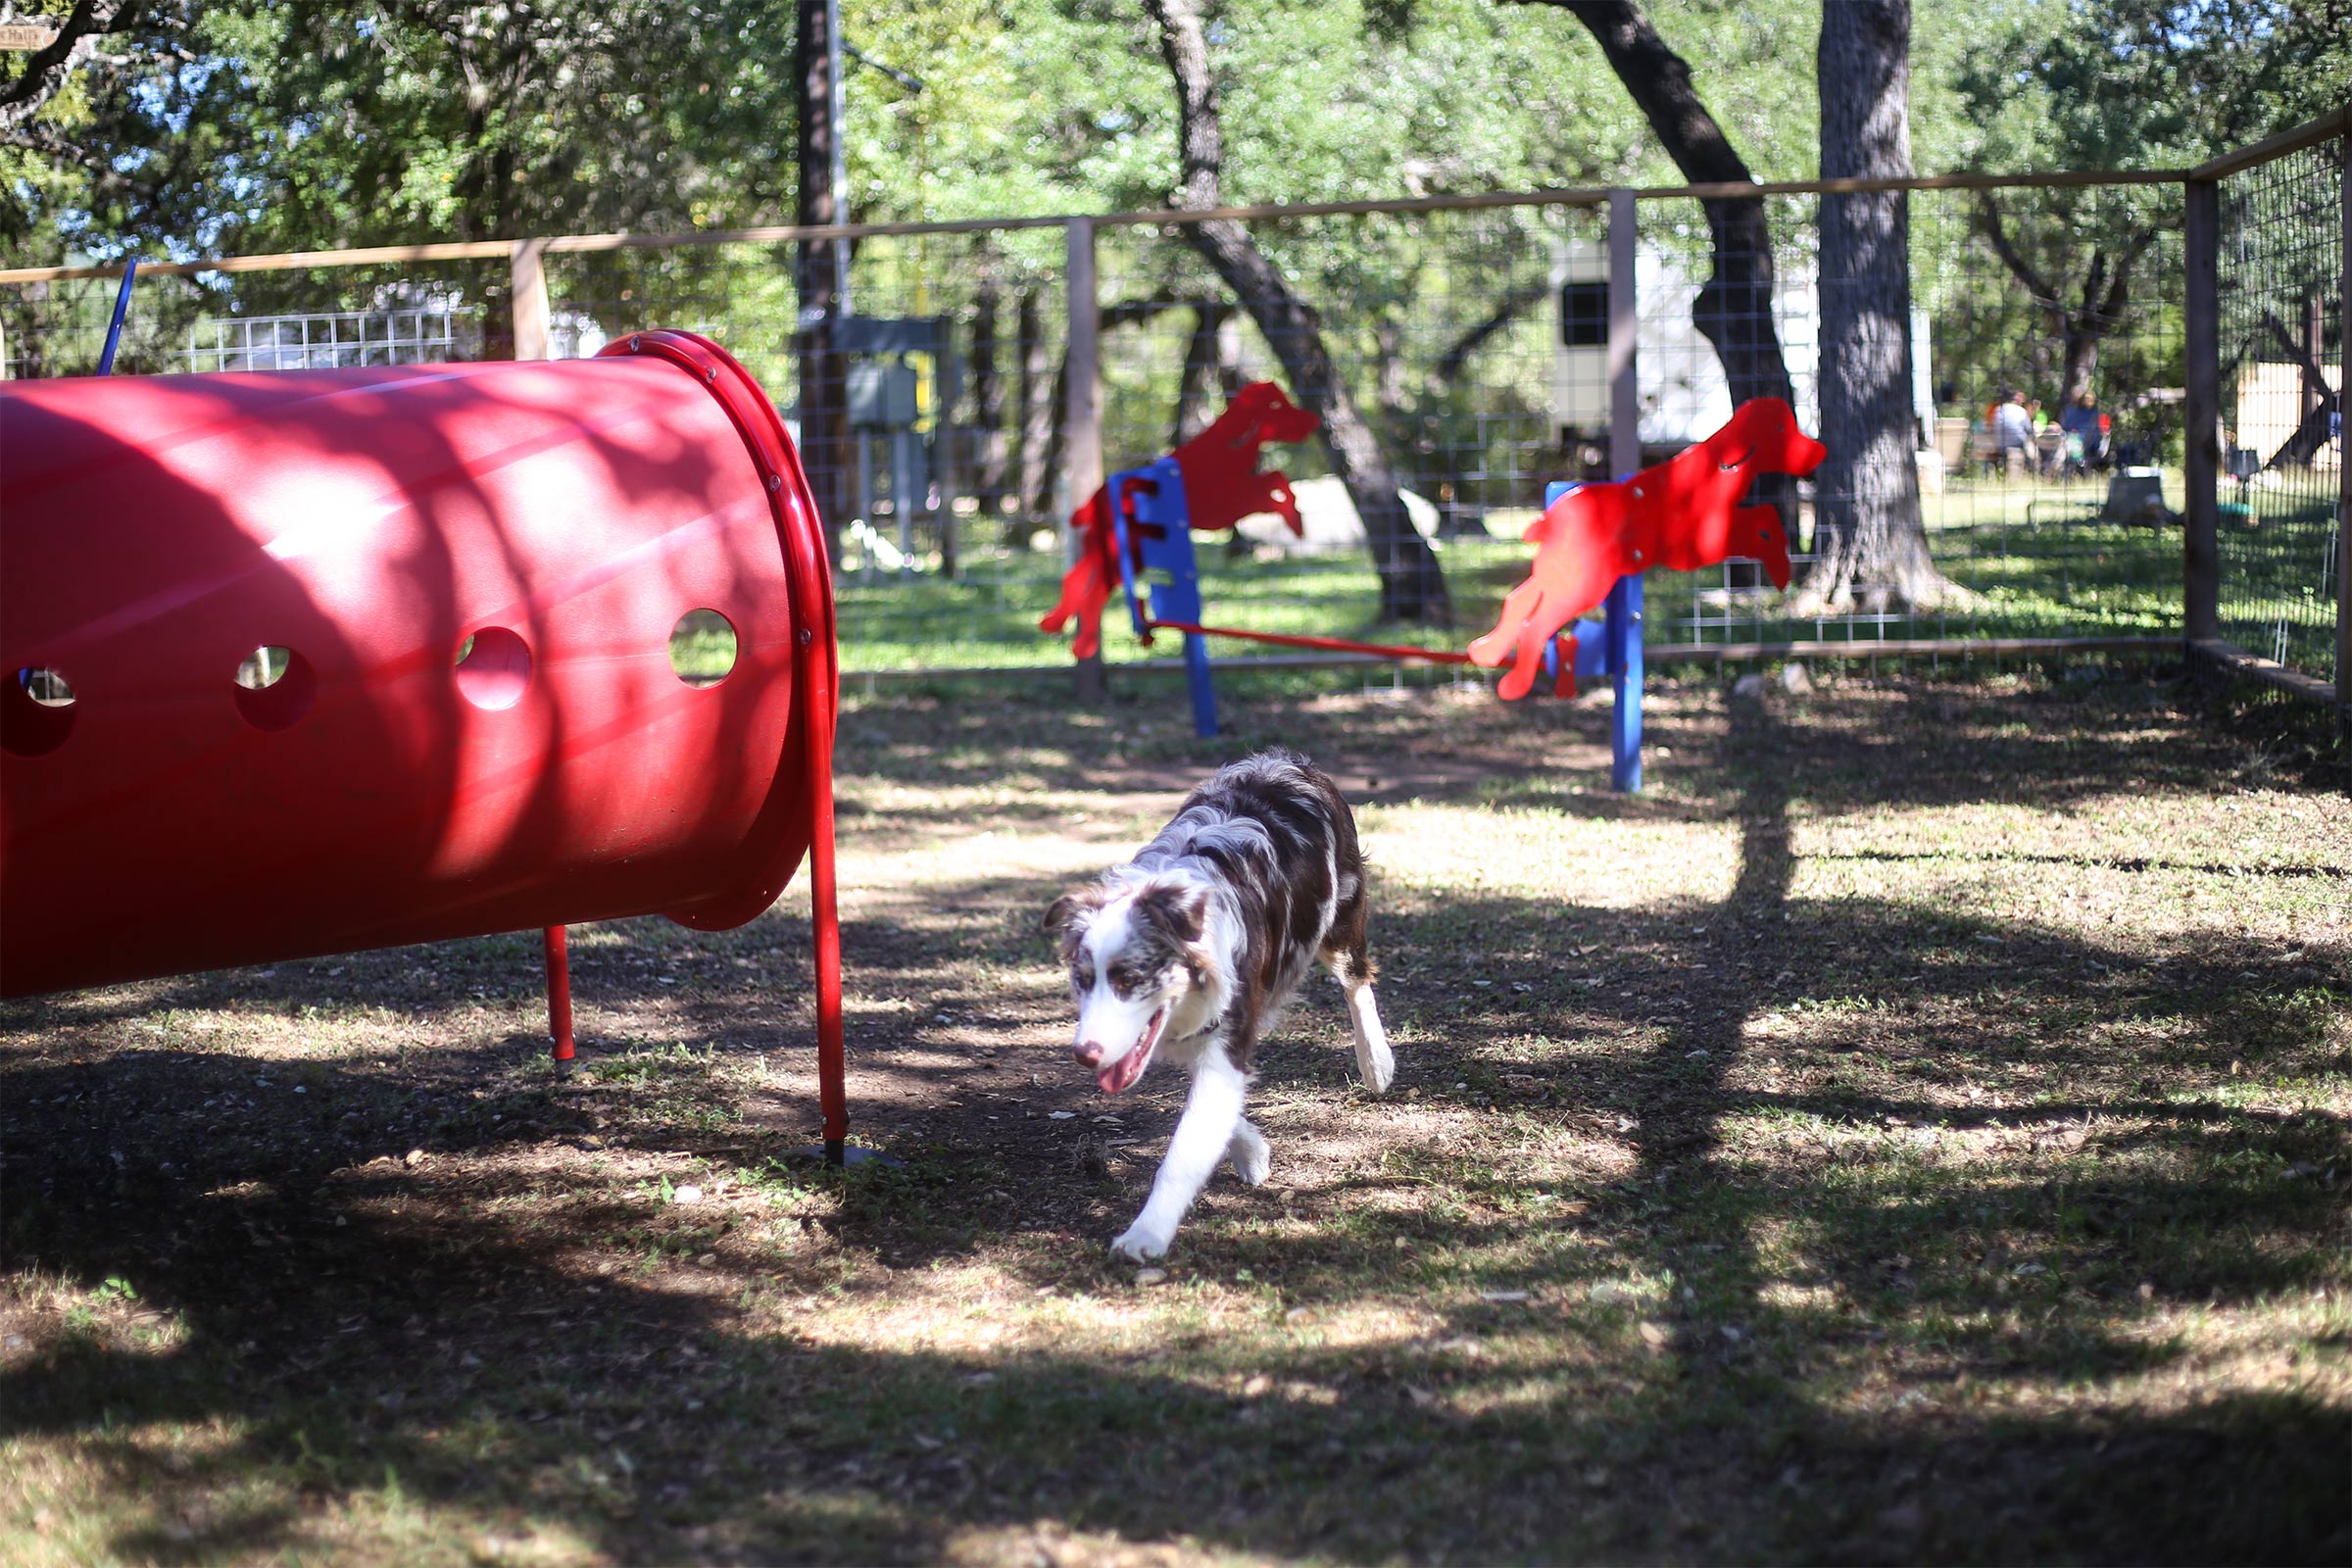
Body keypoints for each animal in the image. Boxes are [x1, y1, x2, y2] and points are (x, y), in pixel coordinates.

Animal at [1039, 747, 1383, 1259]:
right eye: (1083, 980)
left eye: (1130, 979)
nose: (1085, 1054)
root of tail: (1288, 761)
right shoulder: (1204, 1036)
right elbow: (1219, 1109)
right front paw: (1253, 1152)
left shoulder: (1227, 1033)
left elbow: (1183, 1151)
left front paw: (1146, 1233)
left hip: (1340, 917)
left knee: (1357, 981)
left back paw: (1376, 1063)